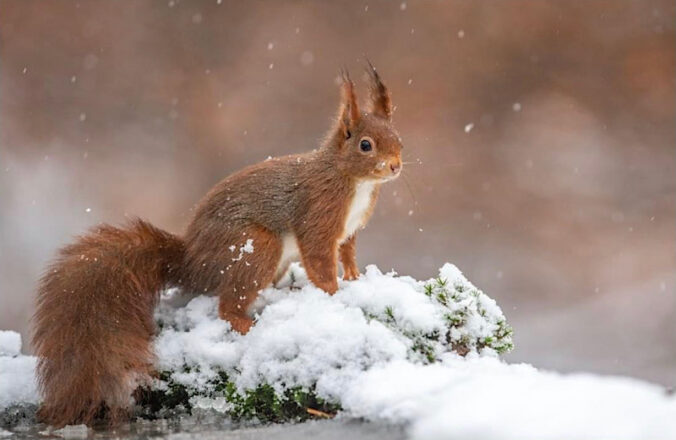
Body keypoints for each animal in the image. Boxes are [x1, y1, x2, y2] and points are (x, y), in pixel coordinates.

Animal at [30, 67, 402, 428]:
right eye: (366, 145)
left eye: (398, 138)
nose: (396, 165)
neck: (352, 180)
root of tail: (191, 264)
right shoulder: (318, 215)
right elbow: (319, 259)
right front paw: (333, 292)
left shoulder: (349, 232)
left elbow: (347, 254)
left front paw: (354, 278)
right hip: (256, 247)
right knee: (228, 305)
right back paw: (247, 323)